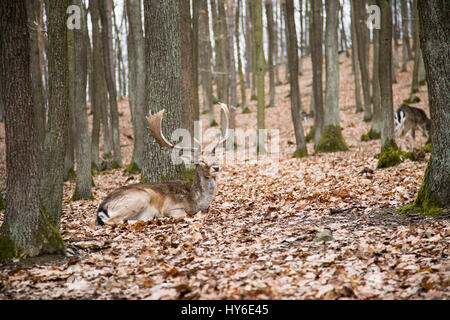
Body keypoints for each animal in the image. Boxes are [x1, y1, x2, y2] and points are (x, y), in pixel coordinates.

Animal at [94, 104, 229, 226]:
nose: (216, 167)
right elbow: (186, 215)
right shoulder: (171, 207)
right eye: (200, 161)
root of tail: (102, 208)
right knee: (114, 221)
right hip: (140, 197)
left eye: (216, 158)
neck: (195, 201)